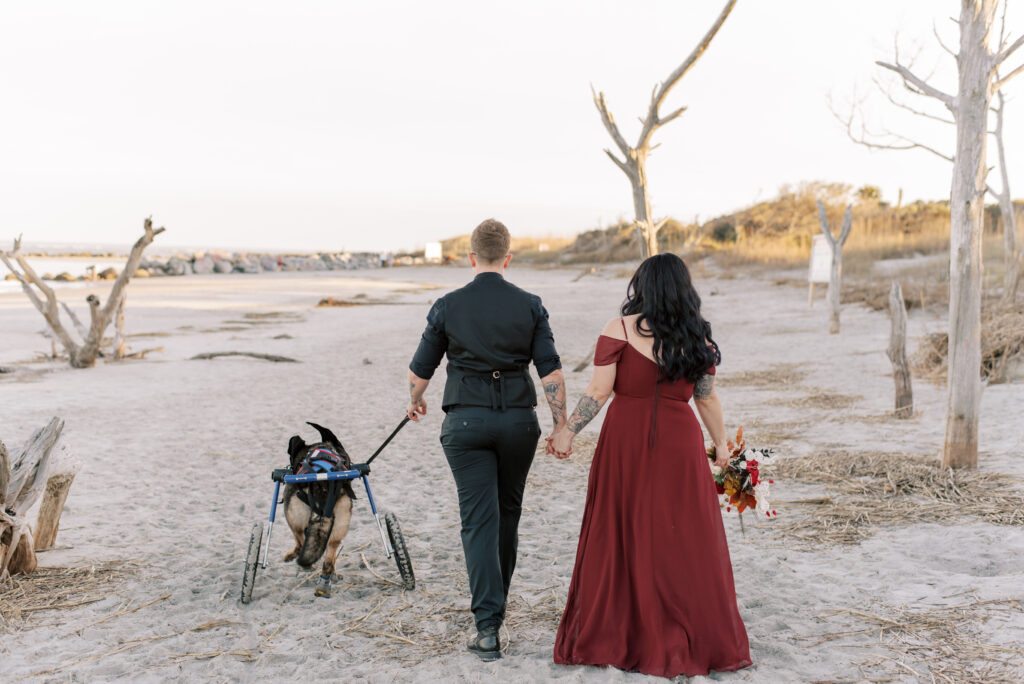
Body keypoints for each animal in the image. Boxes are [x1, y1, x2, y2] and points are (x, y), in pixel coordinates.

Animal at [284, 419, 356, 593]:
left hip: (292, 515)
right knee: (329, 558)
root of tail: (321, 486)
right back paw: (327, 579)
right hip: (340, 524)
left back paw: (301, 562)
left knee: (300, 542)